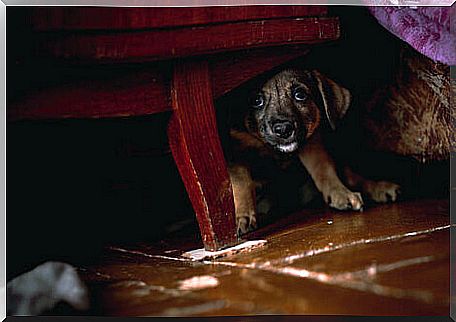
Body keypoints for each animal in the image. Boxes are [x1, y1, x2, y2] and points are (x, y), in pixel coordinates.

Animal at [228, 69, 400, 234]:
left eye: (300, 95)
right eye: (257, 101)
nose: (283, 129)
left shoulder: (312, 144)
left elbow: (324, 171)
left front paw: (340, 193)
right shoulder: (235, 151)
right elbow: (242, 182)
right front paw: (243, 217)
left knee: (351, 176)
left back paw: (379, 187)